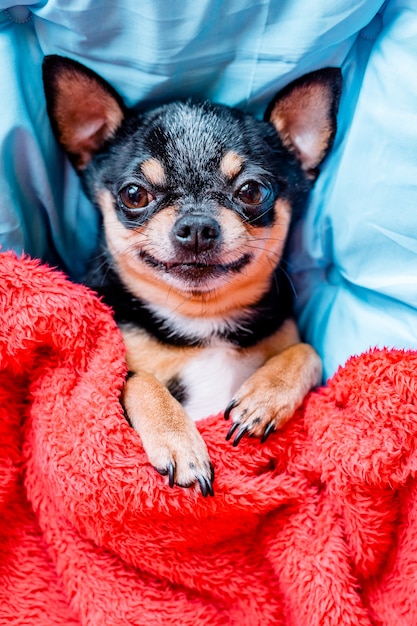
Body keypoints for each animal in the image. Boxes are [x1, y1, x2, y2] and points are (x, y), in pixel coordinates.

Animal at [43, 57, 342, 498]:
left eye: (253, 191)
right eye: (134, 195)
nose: (197, 225)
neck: (202, 320)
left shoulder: (287, 334)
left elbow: (309, 352)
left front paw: (264, 397)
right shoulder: (110, 370)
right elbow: (138, 381)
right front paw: (179, 443)